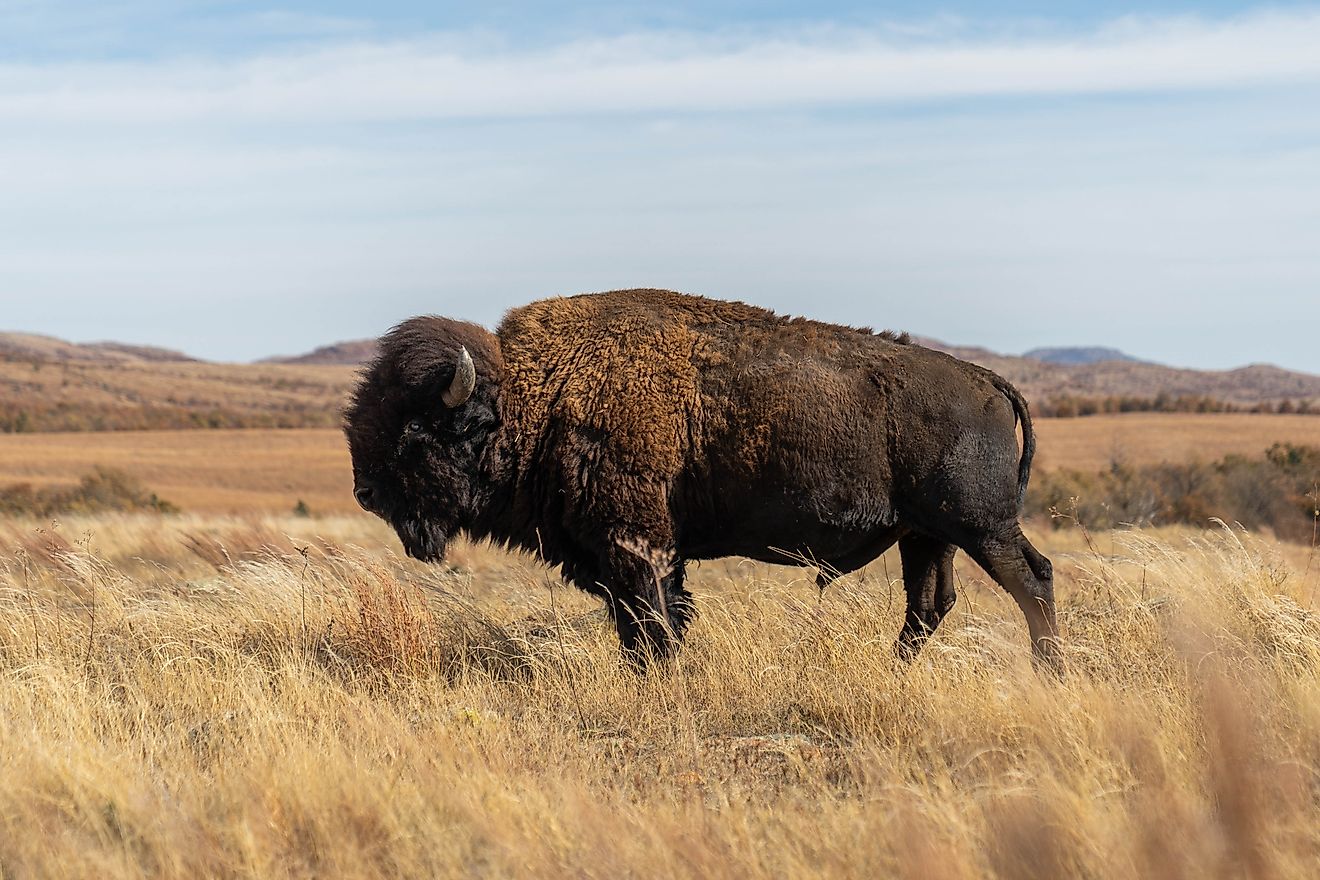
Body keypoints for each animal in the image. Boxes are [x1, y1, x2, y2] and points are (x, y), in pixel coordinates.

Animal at [343, 288, 1061, 667]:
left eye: (415, 430)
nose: (365, 492)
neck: (535, 397)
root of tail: (986, 379)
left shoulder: (637, 546)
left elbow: (654, 622)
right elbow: (644, 621)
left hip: (981, 528)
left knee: (1033, 581)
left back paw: (1048, 672)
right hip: (927, 535)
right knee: (930, 603)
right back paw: (893, 672)